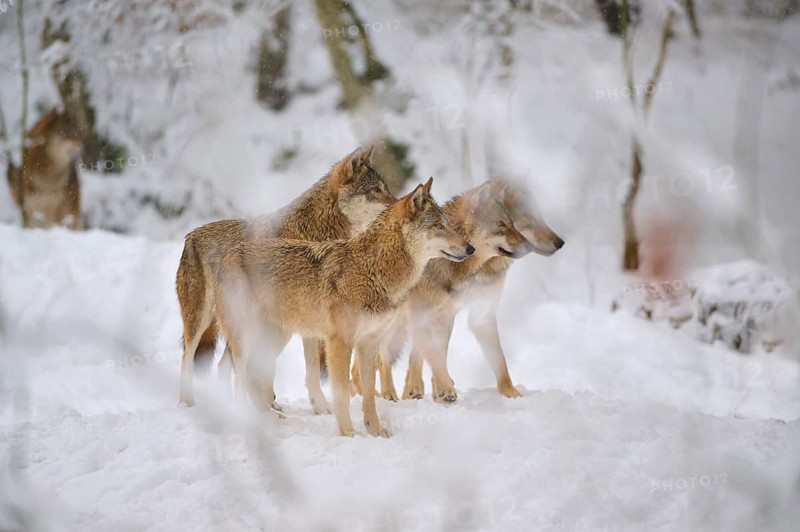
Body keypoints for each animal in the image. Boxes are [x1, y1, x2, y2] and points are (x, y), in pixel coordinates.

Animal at [177, 147, 395, 410]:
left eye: (386, 188)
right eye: (376, 190)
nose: (400, 205)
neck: (314, 230)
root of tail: (191, 236)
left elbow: (310, 369)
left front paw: (318, 406)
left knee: (225, 365)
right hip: (203, 322)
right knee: (188, 358)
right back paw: (188, 402)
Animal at [215, 178, 473, 437]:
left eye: (448, 225)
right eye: (439, 226)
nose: (471, 249)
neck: (372, 270)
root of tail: (227, 256)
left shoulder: (369, 343)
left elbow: (368, 394)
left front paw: (375, 431)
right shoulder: (339, 342)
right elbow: (342, 394)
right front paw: (348, 433)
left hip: (275, 339)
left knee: (255, 376)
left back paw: (270, 418)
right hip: (247, 339)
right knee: (239, 376)